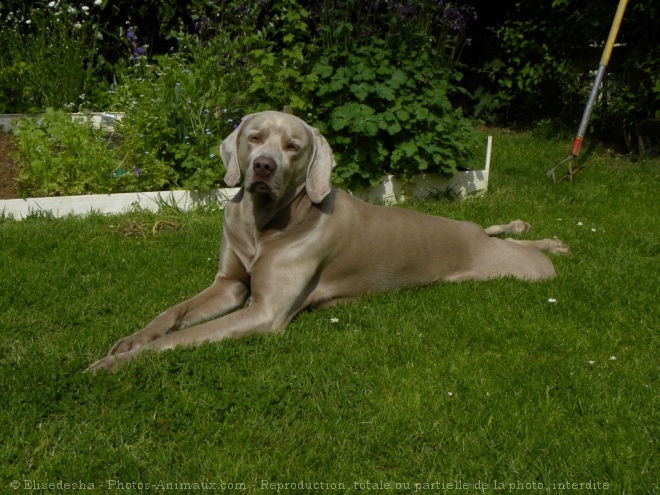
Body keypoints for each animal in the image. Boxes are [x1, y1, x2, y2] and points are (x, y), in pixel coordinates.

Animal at [85, 110, 568, 374]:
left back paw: (552, 246)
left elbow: (180, 339)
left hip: (518, 270)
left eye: (294, 146)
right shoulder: (230, 285)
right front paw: (130, 341)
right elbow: (172, 315)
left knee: (528, 258)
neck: (266, 222)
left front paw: (114, 363)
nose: (263, 167)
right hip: (479, 237)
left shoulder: (263, 313)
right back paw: (530, 231)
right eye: (254, 137)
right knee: (494, 230)